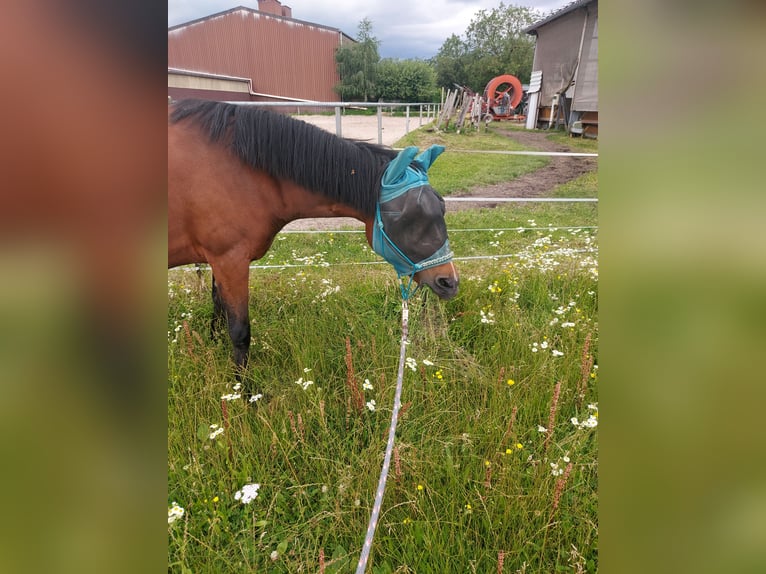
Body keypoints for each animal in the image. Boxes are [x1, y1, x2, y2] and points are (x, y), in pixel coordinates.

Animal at [170, 100, 456, 396]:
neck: (244, 172)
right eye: (409, 218)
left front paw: (214, 344)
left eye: (442, 207)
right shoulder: (230, 260)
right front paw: (246, 393)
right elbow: (240, 332)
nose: (449, 282)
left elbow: (218, 306)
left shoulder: (219, 261)